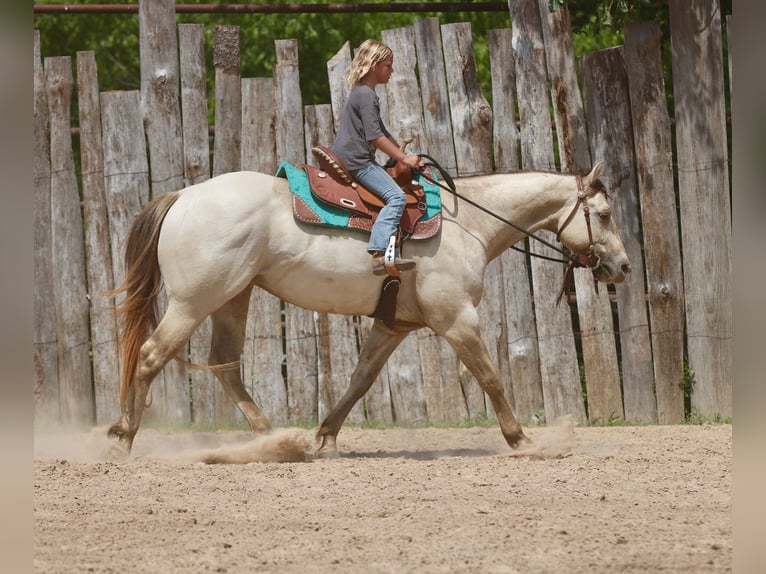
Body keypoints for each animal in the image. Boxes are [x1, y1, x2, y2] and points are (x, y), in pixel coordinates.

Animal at [106, 160, 631, 457]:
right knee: (151, 356)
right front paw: (521, 440)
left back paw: (274, 438)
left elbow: (360, 380)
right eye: (604, 215)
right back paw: (124, 436)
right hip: (195, 301)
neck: (469, 223)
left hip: (233, 296)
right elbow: (490, 376)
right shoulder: (457, 319)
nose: (622, 266)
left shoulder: (393, 325)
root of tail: (182, 196)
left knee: (225, 365)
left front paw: (324, 437)